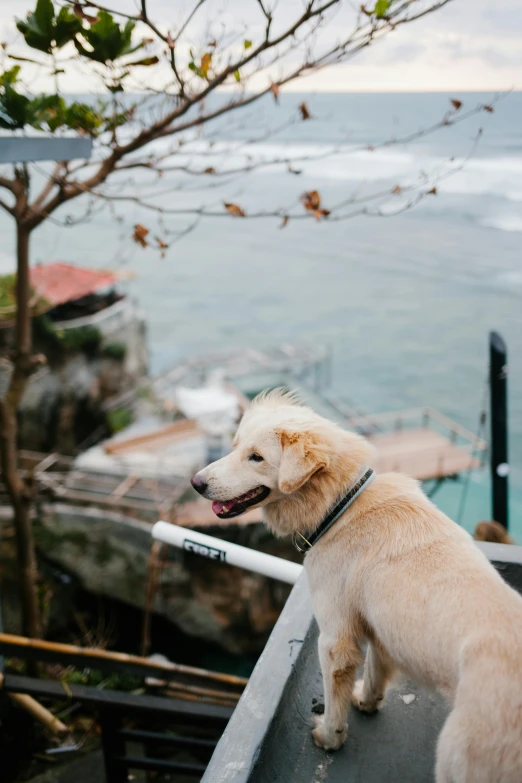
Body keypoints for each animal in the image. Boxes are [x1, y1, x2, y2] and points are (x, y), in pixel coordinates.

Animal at [190, 392, 520, 783]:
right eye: (235, 446)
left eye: (256, 457)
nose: (195, 482)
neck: (341, 505)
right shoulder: (379, 624)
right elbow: (376, 669)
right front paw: (366, 701)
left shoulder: (335, 638)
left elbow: (335, 697)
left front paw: (330, 737)